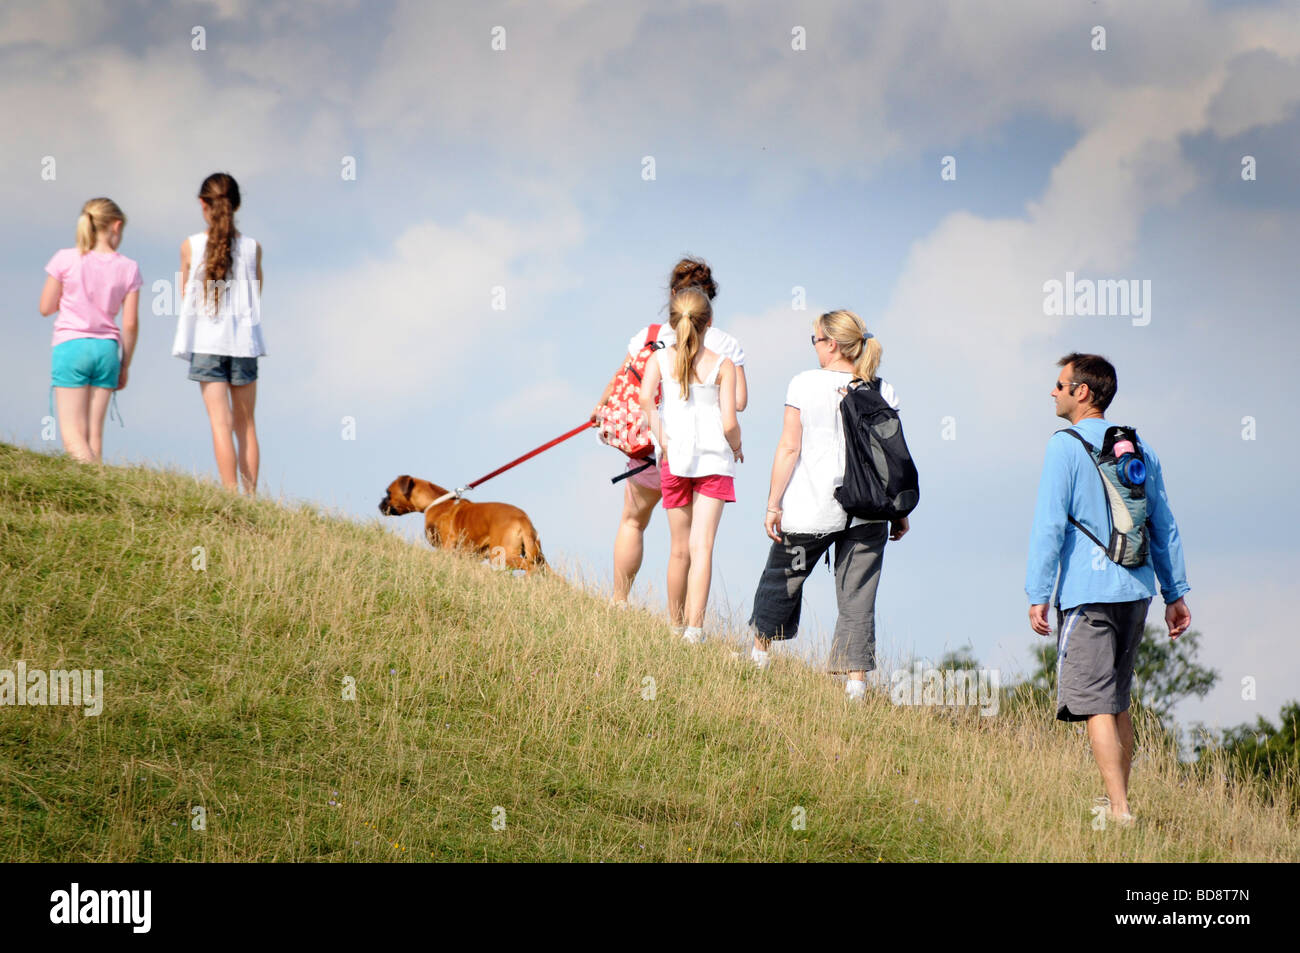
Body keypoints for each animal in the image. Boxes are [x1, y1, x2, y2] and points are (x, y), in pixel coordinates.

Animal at [377, 473, 543, 569]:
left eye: (388, 492)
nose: (380, 505)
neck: (436, 502)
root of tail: (522, 518)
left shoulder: (446, 546)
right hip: (537, 556)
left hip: (502, 556)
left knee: (529, 567)